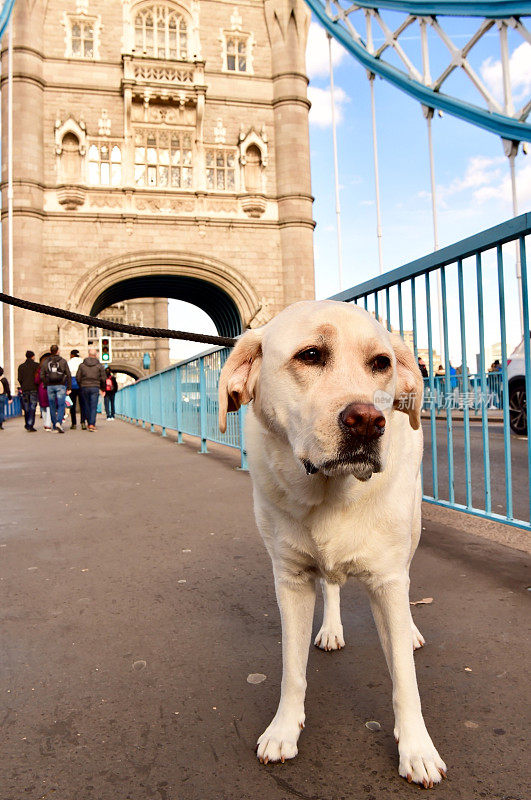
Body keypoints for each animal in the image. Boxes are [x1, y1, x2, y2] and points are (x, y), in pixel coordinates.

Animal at [218, 300, 446, 788]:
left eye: (380, 363)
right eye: (309, 355)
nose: (368, 422)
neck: (330, 491)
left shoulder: (386, 580)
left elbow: (404, 678)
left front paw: (416, 749)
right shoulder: (290, 580)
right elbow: (292, 670)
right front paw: (284, 729)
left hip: (413, 533)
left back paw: (411, 631)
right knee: (333, 584)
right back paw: (332, 628)